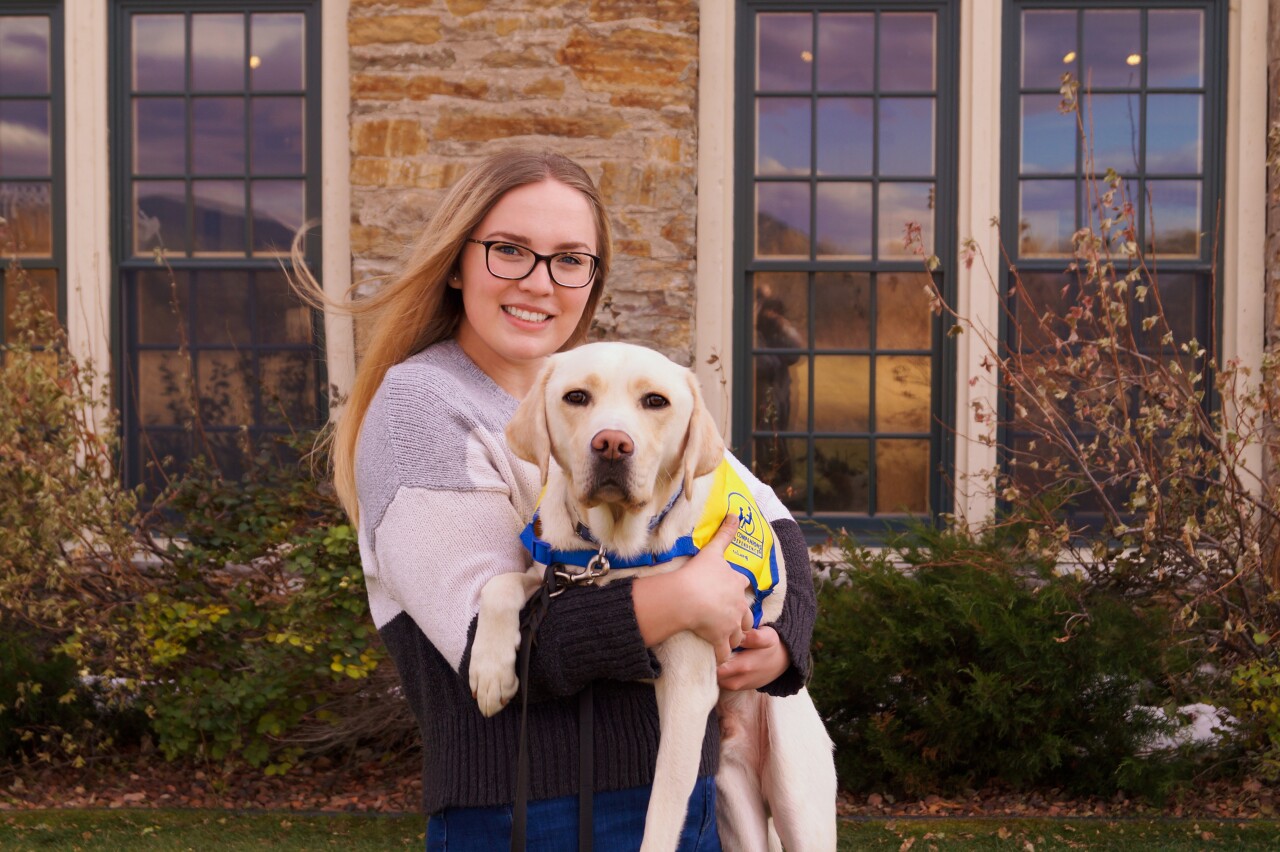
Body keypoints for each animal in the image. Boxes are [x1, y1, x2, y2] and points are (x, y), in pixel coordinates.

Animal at [471, 340, 839, 849]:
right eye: (576, 397)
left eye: (655, 402)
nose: (611, 444)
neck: (614, 547)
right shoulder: (553, 575)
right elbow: (499, 583)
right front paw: (490, 671)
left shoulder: (687, 687)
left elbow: (662, 814)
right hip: (734, 803)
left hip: (797, 799)